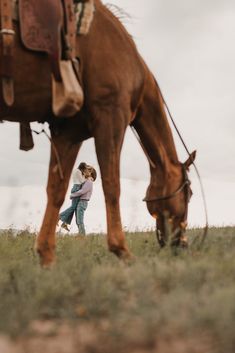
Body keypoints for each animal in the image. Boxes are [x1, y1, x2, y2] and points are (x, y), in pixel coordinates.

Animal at [0, 0, 196, 264]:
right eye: (189, 193)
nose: (181, 244)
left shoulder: (68, 133)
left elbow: (57, 189)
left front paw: (46, 256)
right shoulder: (112, 116)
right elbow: (112, 185)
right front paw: (122, 251)